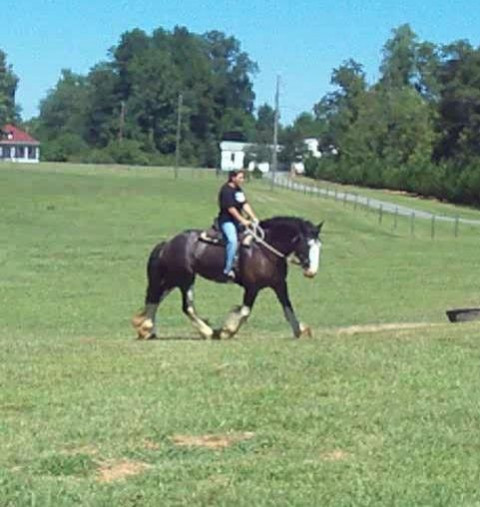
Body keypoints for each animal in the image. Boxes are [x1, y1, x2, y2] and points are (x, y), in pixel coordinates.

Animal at [132, 215, 322, 342]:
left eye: (319, 246)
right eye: (307, 244)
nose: (312, 271)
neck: (264, 250)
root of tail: (168, 243)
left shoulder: (279, 285)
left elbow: (288, 309)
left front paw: (299, 331)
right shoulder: (252, 287)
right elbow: (244, 312)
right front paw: (227, 331)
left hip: (172, 279)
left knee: (155, 299)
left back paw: (147, 330)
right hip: (185, 279)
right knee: (187, 307)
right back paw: (207, 332)